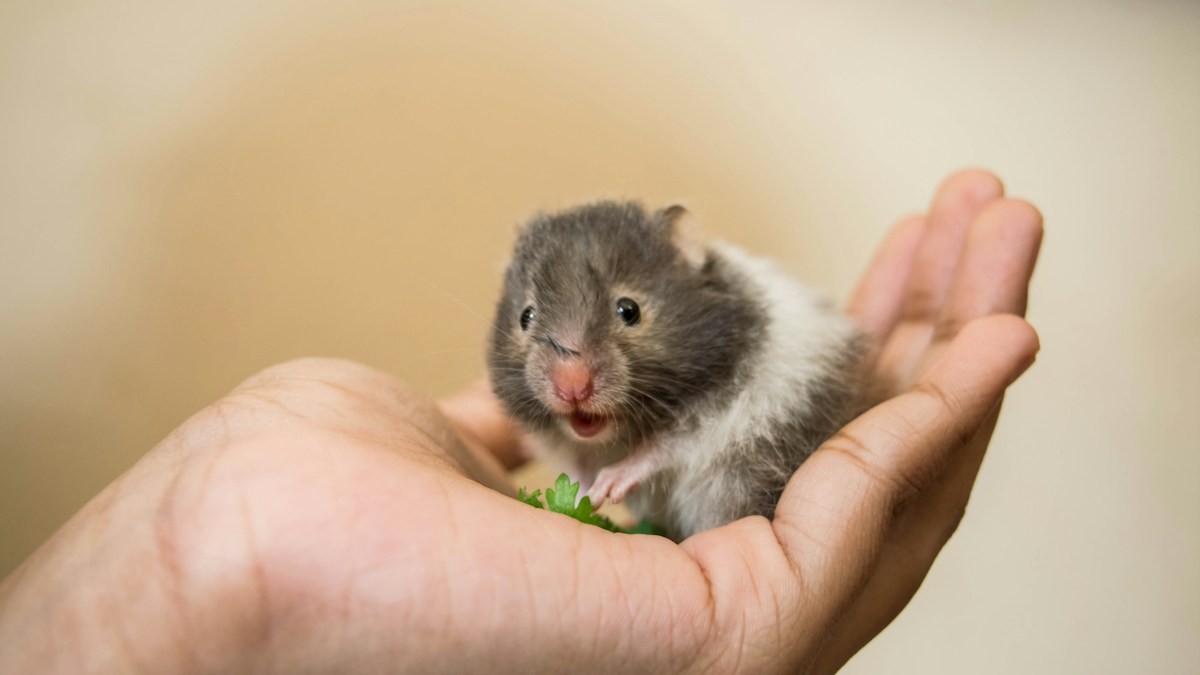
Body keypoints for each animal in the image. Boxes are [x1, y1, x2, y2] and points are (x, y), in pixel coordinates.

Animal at [488, 201, 866, 541]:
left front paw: (608, 485)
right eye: (525, 317)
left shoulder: (714, 414)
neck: (618, 435)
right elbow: (576, 463)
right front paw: (584, 494)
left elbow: (660, 449)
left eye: (629, 310)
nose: (571, 388)